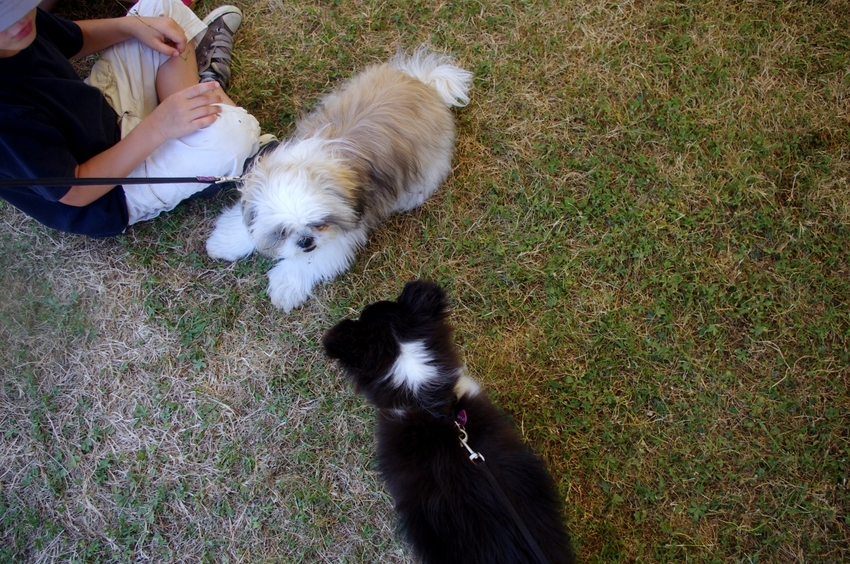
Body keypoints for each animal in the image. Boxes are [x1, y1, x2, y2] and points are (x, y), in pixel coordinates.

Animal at [205, 47, 470, 312]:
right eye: (282, 232)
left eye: (320, 224)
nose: (305, 241)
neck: (313, 167)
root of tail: (425, 84)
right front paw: (225, 243)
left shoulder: (343, 232)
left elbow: (310, 262)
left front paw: (285, 286)